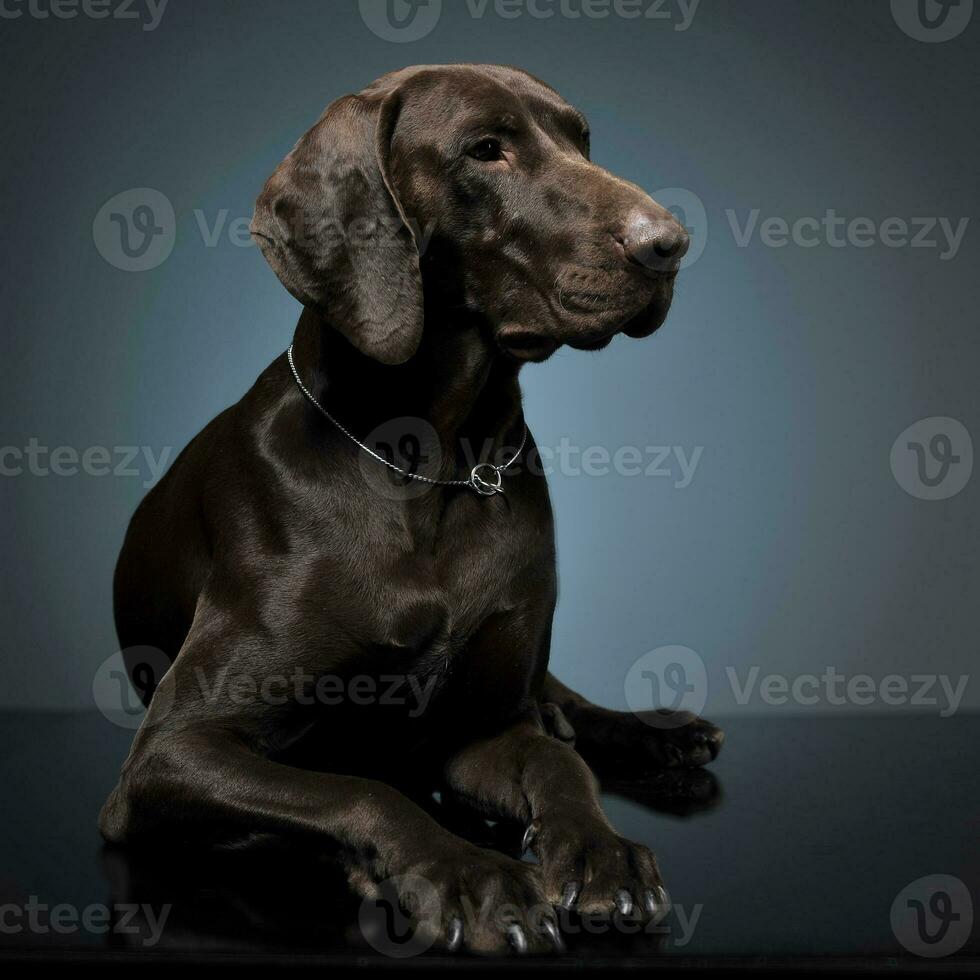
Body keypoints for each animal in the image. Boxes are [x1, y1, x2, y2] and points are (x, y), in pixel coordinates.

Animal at [101, 67, 720, 956]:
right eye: (485, 150)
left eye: (581, 140)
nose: (669, 243)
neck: (437, 468)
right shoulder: (170, 754)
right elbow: (357, 788)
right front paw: (469, 875)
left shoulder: (480, 728)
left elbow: (556, 766)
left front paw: (601, 854)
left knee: (563, 707)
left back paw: (657, 731)